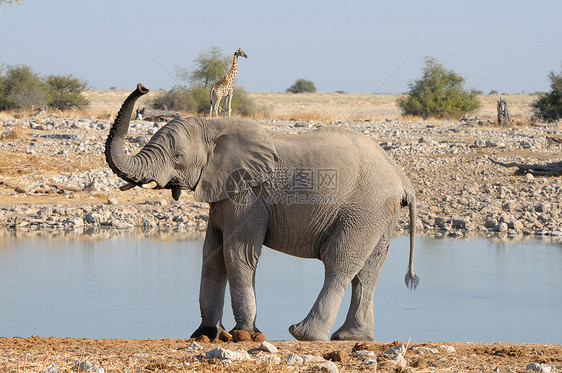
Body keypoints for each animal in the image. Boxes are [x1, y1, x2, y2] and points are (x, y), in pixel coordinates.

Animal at [105, 84, 418, 340]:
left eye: (178, 158)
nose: (142, 87)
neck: (215, 126)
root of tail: (402, 178)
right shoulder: (223, 192)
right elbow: (212, 253)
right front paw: (205, 334)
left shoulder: (249, 196)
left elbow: (237, 253)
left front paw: (244, 334)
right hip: (380, 213)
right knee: (369, 271)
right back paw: (351, 337)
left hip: (364, 209)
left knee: (340, 262)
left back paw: (304, 334)